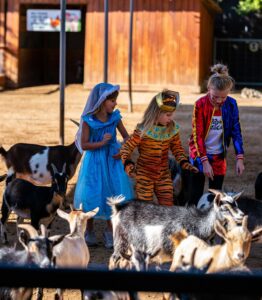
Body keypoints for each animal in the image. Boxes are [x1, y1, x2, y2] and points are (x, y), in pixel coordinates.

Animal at [107, 192, 245, 272]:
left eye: (236, 204)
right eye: (225, 208)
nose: (242, 215)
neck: (198, 222)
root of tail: (119, 208)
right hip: (121, 240)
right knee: (113, 259)